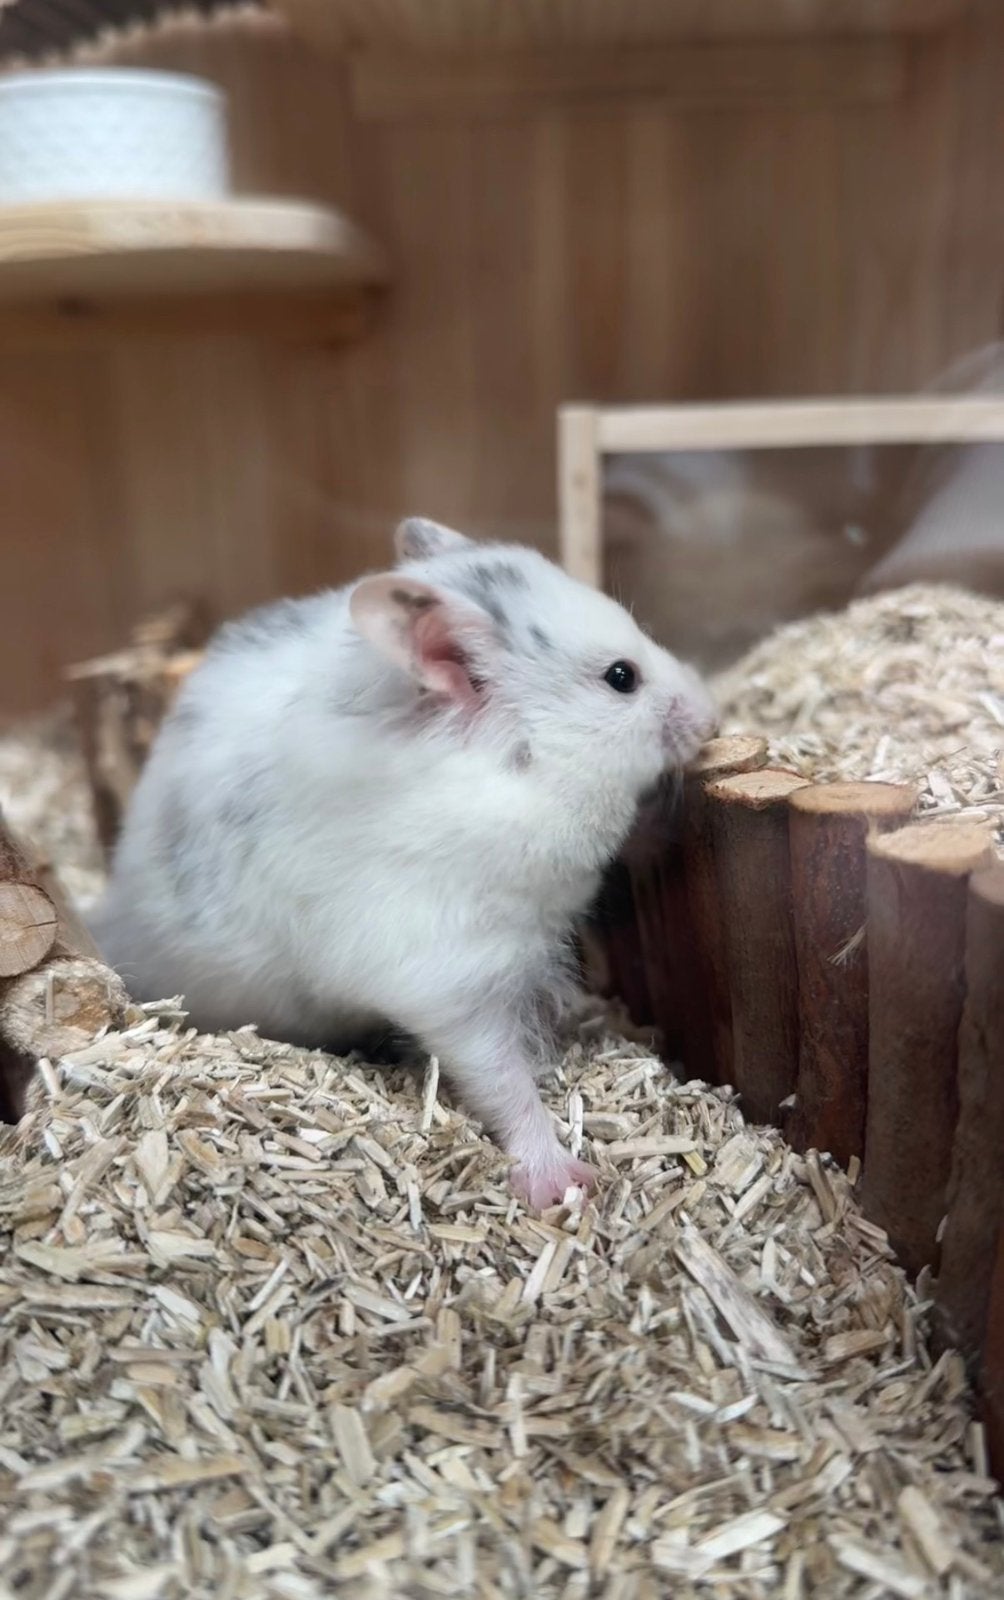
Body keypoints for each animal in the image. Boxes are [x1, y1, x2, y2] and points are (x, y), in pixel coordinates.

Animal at [93, 518, 716, 1208]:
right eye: (621, 677)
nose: (712, 716)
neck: (522, 771)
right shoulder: (447, 977)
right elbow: (502, 1078)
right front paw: (562, 1184)